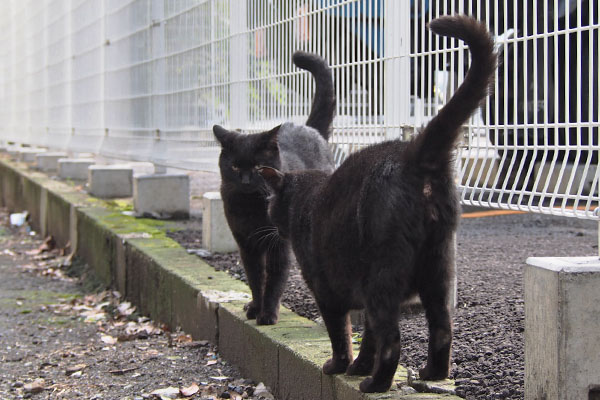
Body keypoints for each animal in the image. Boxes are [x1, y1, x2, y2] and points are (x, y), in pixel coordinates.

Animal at [212, 50, 336, 324]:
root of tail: (309, 127)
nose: (246, 180)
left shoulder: (278, 244)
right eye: (235, 167)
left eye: (259, 166)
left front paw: (267, 314)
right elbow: (255, 278)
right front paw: (255, 308)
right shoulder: (245, 244)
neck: (250, 207)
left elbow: (275, 279)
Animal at [258, 16, 496, 394]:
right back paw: (431, 374)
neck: (308, 199)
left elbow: (341, 335)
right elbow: (368, 337)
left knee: (393, 339)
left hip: (382, 277)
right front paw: (358, 368)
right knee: (442, 328)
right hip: (438, 269)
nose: (275, 225)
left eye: (271, 205)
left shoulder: (326, 290)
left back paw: (377, 383)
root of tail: (412, 155)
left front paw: (340, 367)